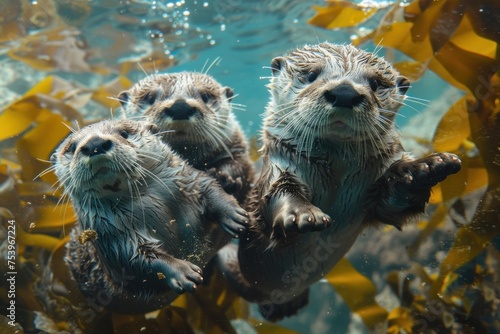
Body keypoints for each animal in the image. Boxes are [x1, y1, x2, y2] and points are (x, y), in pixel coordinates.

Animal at [52, 119, 248, 314]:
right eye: (72, 147)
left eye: (124, 133)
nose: (94, 144)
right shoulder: (112, 238)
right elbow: (136, 261)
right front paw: (181, 271)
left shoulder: (189, 179)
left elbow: (209, 186)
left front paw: (233, 213)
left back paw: (227, 181)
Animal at [118, 71, 254, 204]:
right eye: (149, 97)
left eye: (205, 96)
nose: (180, 107)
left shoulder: (236, 148)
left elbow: (239, 165)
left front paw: (224, 178)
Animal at [219, 43, 460, 320]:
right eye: (311, 75)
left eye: (375, 83)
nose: (344, 92)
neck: (336, 174)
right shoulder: (278, 169)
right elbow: (280, 193)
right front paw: (304, 215)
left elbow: (392, 205)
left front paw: (426, 168)